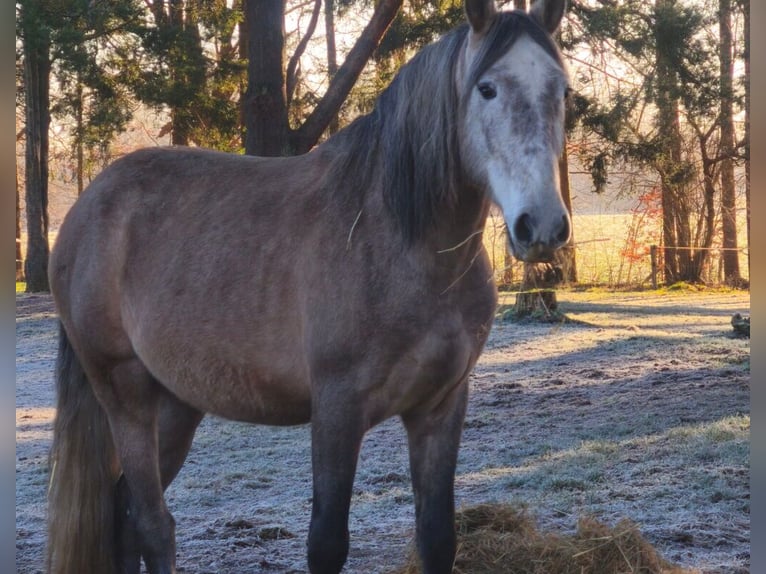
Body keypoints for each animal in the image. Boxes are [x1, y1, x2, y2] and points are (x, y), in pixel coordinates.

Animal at [46, 0, 571, 572]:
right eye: (487, 88)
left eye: (563, 91)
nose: (542, 226)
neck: (402, 244)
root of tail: (88, 208)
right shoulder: (337, 409)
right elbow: (326, 542)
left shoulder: (440, 408)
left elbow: (436, 537)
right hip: (126, 393)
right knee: (151, 523)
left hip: (178, 402)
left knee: (124, 511)